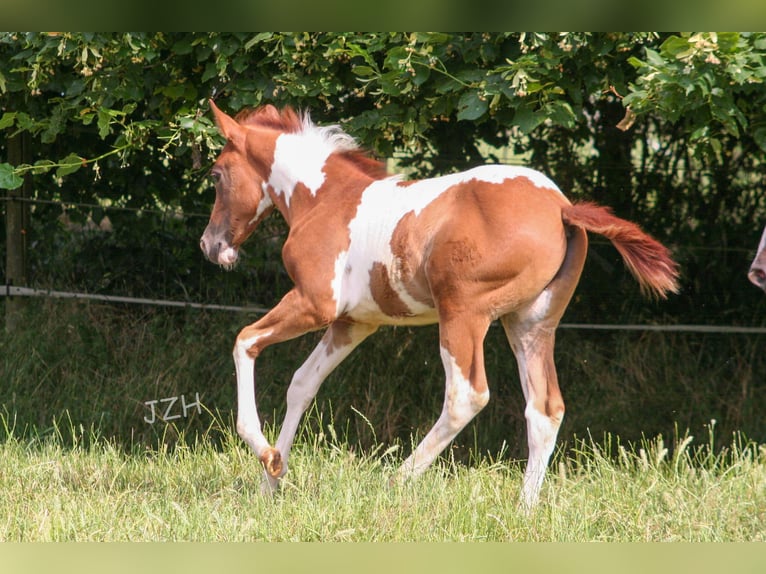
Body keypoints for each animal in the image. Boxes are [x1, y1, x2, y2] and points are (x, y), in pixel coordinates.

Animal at [200, 99, 680, 510]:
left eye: (217, 174)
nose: (211, 246)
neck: (324, 200)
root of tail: (562, 208)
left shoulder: (314, 305)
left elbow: (245, 342)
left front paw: (265, 455)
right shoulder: (352, 324)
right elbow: (302, 383)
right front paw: (272, 477)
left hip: (463, 315)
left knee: (467, 395)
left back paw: (397, 481)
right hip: (531, 324)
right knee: (546, 408)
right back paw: (524, 508)